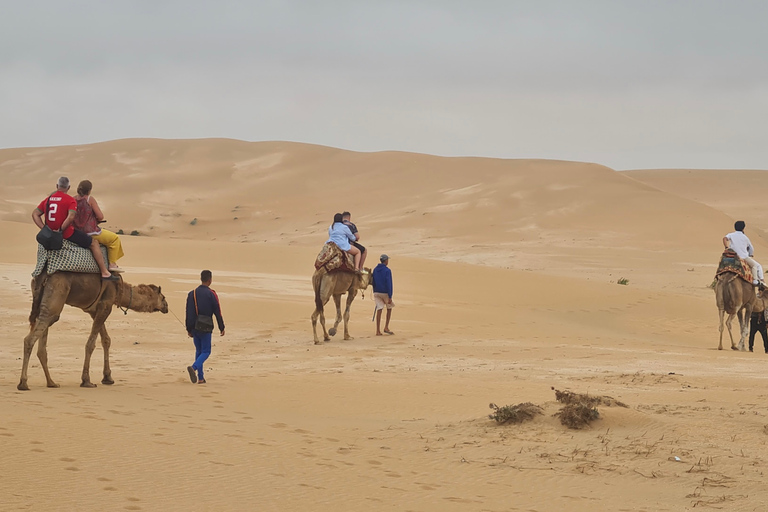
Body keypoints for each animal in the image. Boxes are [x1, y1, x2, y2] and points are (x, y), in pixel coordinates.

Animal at [18, 274, 168, 390]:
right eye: (163, 297)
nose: (166, 307)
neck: (119, 290)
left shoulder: (94, 310)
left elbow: (106, 340)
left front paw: (108, 377)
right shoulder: (105, 305)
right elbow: (90, 344)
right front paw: (86, 380)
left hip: (44, 304)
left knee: (41, 346)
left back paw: (51, 383)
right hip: (55, 297)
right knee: (29, 339)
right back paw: (23, 383)